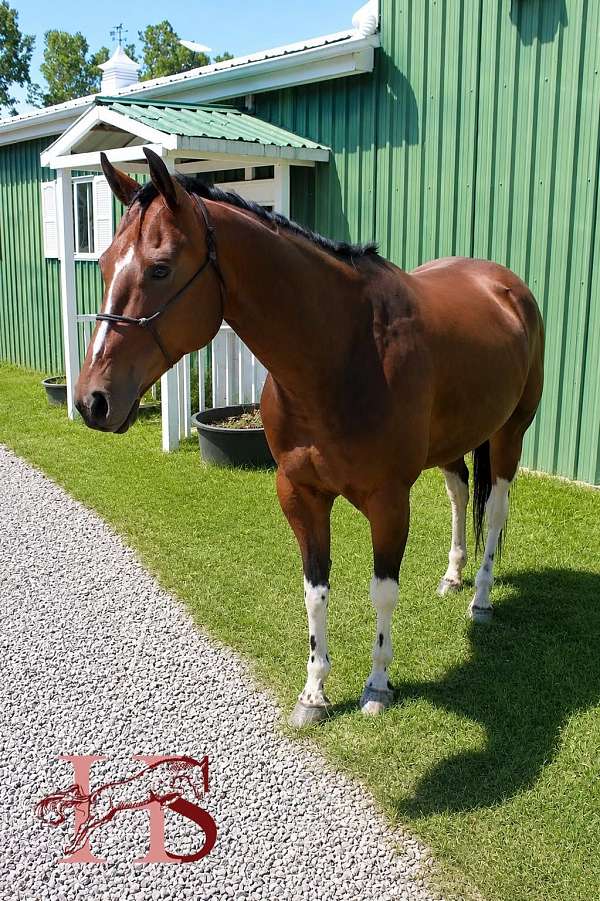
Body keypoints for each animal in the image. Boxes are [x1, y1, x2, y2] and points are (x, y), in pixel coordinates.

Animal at [75, 148, 544, 727]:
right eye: (102, 263)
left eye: (160, 268)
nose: (92, 400)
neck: (343, 352)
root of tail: (505, 285)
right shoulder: (300, 494)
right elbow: (314, 592)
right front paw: (314, 693)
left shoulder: (389, 501)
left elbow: (382, 593)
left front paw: (377, 685)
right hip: (454, 442)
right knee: (459, 494)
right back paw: (453, 576)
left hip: (509, 433)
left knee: (495, 509)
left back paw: (480, 597)